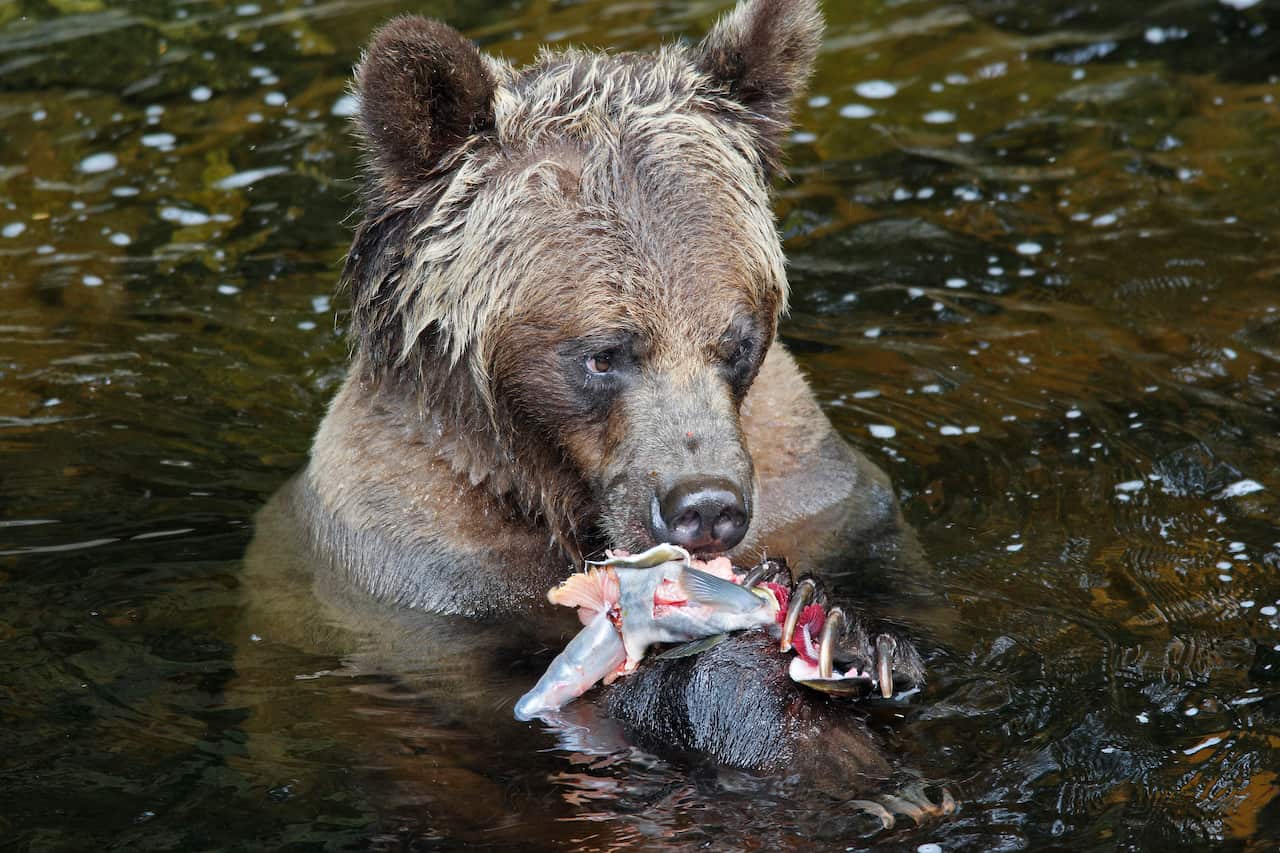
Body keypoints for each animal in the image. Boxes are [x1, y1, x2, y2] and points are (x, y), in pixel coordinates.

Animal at [238, 0, 944, 832]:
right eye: (604, 354)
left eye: (736, 340)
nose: (706, 505)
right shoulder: (414, 570)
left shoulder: (809, 480)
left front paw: (844, 630)